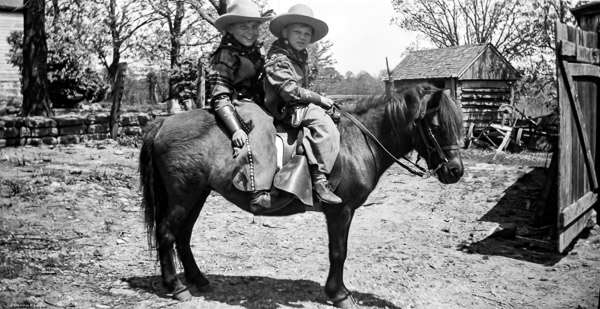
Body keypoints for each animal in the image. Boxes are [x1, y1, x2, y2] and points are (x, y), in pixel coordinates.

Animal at [139, 83, 464, 306]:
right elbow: (338, 252)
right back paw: (177, 287)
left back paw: (199, 280)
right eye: (436, 126)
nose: (456, 171)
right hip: (183, 195)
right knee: (167, 233)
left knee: (182, 236)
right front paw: (339, 294)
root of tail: (163, 122)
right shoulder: (340, 211)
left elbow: (340, 251)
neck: (356, 142)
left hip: (198, 194)